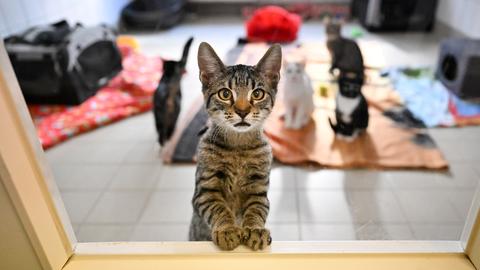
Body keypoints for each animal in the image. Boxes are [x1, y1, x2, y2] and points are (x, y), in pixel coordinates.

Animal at [189, 42, 284, 251]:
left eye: (257, 94)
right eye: (225, 94)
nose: (242, 111)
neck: (238, 148)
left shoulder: (259, 189)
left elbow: (256, 209)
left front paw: (255, 229)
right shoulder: (205, 189)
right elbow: (218, 208)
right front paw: (227, 230)